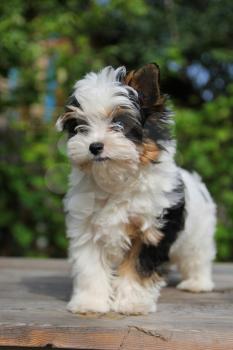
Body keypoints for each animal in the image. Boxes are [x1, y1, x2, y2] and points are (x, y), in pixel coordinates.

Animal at [56, 63, 217, 314]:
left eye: (119, 124)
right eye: (80, 127)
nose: (94, 146)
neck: (118, 180)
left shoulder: (152, 230)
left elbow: (138, 267)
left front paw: (132, 303)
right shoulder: (86, 229)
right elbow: (90, 266)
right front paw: (90, 302)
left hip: (198, 233)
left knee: (197, 256)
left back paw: (197, 283)